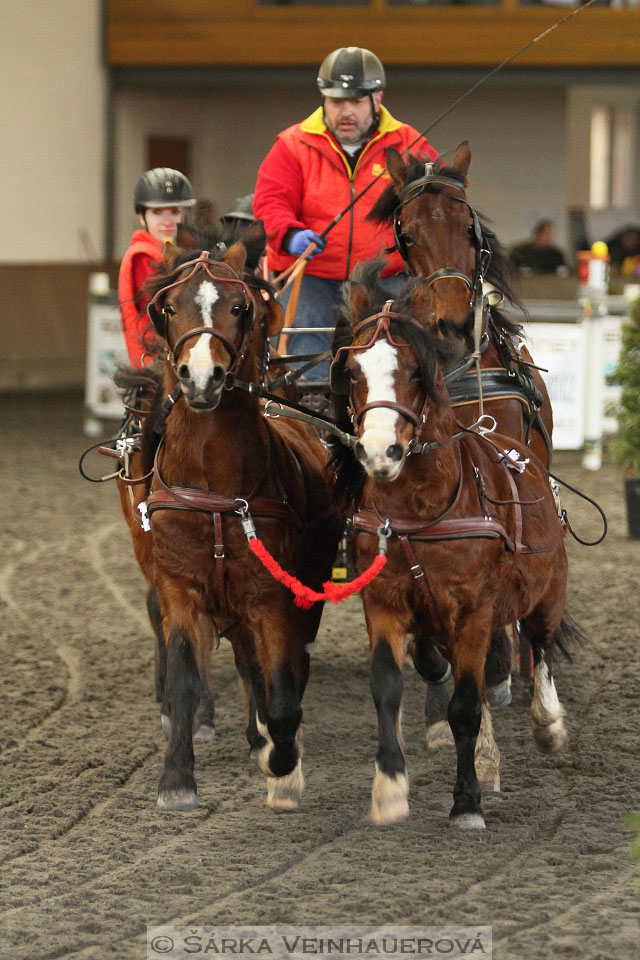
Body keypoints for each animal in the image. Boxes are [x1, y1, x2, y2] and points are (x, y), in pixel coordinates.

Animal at [117, 242, 342, 808]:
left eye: (240, 307)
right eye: (169, 306)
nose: (201, 377)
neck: (213, 483)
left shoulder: (271, 595)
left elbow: (281, 686)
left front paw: (280, 759)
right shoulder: (181, 587)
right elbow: (185, 677)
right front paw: (176, 777)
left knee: (274, 668)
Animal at [332, 266, 576, 828]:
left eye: (414, 370)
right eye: (352, 372)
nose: (380, 452)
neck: (421, 511)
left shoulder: (475, 609)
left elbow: (465, 704)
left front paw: (466, 802)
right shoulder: (384, 603)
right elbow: (390, 688)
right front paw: (390, 789)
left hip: (546, 593)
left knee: (541, 645)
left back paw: (547, 725)